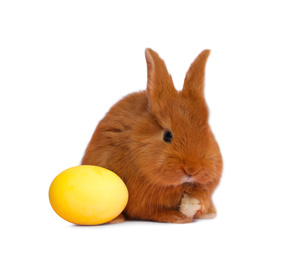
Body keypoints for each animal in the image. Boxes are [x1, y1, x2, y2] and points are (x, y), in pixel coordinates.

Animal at [81, 48, 222, 223]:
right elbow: (151, 212)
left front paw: (194, 206)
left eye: (207, 132)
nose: (192, 170)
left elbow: (202, 196)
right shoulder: (143, 203)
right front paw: (177, 217)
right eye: (167, 135)